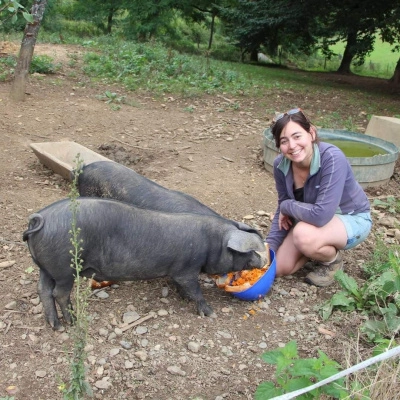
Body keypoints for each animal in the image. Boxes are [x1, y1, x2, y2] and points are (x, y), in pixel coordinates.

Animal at [24, 198, 268, 332]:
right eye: (249, 251)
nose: (265, 260)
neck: (211, 243)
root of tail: (39, 219)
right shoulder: (186, 269)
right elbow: (195, 290)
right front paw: (210, 313)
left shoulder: (178, 273)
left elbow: (184, 288)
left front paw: (182, 298)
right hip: (65, 269)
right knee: (59, 293)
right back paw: (73, 322)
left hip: (46, 268)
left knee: (43, 290)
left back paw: (55, 325)